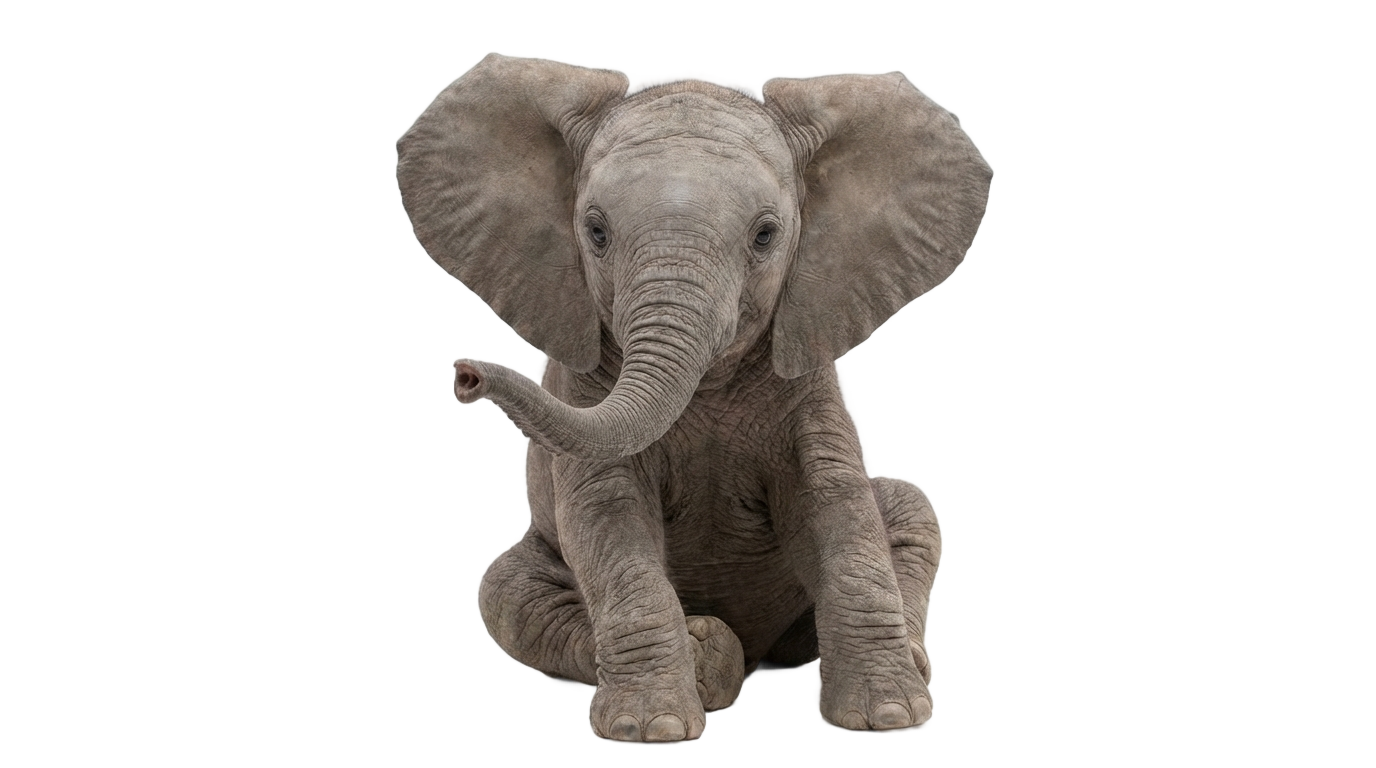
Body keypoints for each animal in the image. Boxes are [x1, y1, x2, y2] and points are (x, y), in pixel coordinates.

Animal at [395, 55, 990, 741]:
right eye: (595, 231)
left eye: (766, 236)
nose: (464, 375)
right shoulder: (586, 383)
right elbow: (609, 514)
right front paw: (650, 729)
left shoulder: (804, 383)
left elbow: (832, 505)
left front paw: (888, 717)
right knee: (509, 594)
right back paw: (710, 655)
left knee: (908, 510)